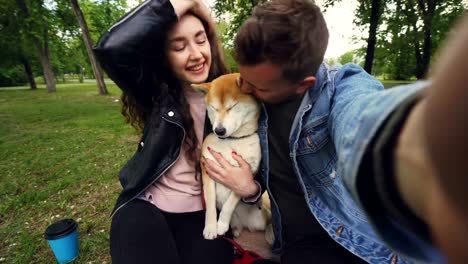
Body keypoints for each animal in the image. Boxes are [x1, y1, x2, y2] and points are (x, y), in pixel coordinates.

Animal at [192, 72, 272, 241]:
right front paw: (211, 227)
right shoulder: (207, 170)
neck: (231, 141)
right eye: (214, 108)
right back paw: (235, 230)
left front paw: (221, 224)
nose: (219, 130)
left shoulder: (245, 176)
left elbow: (229, 204)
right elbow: (210, 204)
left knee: (269, 219)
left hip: (260, 218)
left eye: (232, 106)